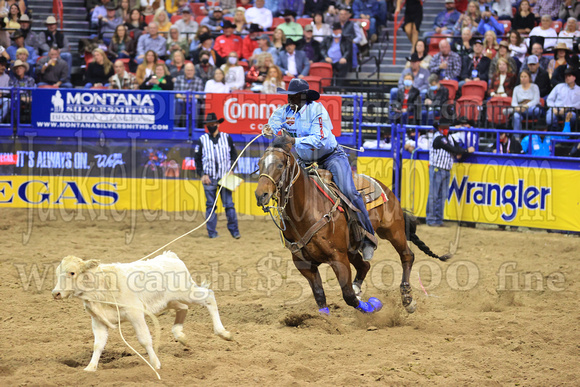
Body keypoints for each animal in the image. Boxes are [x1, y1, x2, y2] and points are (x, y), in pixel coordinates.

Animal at [50, 252, 231, 372]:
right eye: (57, 273)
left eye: (72, 272)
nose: (56, 293)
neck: (103, 285)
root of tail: (170, 256)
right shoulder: (98, 321)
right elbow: (98, 344)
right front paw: (90, 367)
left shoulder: (135, 315)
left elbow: (144, 339)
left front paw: (155, 364)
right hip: (171, 301)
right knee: (183, 308)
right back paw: (180, 335)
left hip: (187, 293)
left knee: (209, 297)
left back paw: (223, 332)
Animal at [256, 137, 450, 316]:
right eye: (259, 164)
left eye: (280, 164)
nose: (260, 195)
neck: (307, 210)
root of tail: (385, 187)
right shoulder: (304, 264)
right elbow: (320, 296)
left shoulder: (338, 257)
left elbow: (348, 296)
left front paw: (373, 306)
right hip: (351, 248)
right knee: (365, 266)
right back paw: (361, 288)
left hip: (393, 231)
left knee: (407, 256)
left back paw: (407, 299)